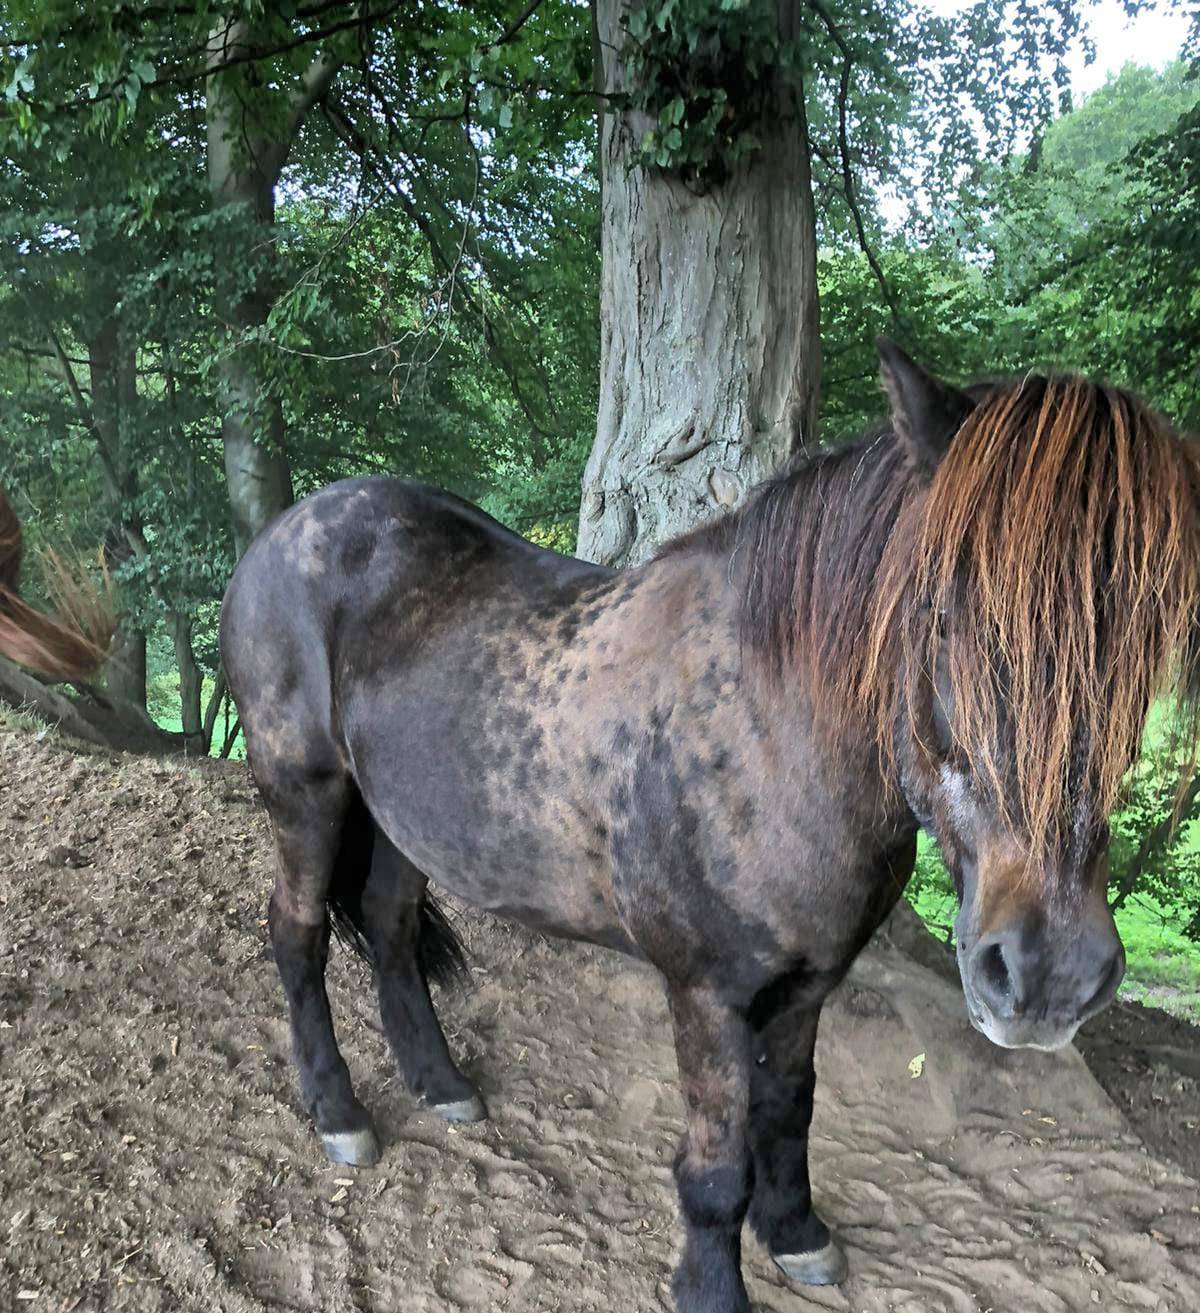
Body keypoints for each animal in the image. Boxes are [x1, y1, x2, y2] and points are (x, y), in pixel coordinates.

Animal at [219, 346, 1197, 1313]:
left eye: (1148, 645)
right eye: (946, 614)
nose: (1046, 972)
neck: (769, 728)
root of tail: (287, 528)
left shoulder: (807, 987)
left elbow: (790, 1108)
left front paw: (797, 1233)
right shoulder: (706, 992)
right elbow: (717, 1164)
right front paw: (713, 1286)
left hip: (400, 821)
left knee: (387, 924)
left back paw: (443, 1084)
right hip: (307, 796)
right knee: (296, 932)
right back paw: (339, 1112)